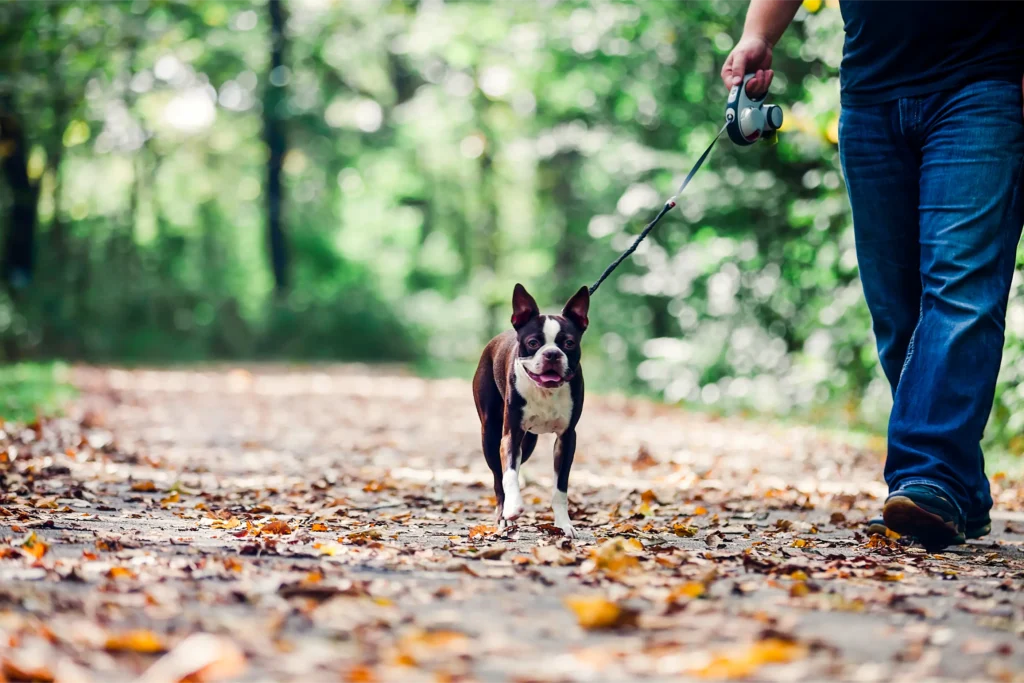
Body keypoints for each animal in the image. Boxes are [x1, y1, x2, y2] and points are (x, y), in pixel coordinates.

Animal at [468, 282, 589, 540]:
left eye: (569, 343)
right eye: (533, 343)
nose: (552, 354)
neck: (545, 392)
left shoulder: (566, 438)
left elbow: (560, 488)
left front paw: (564, 524)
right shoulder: (510, 435)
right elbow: (509, 474)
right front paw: (514, 507)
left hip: (530, 440)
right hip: (489, 435)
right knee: (498, 478)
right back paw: (503, 517)